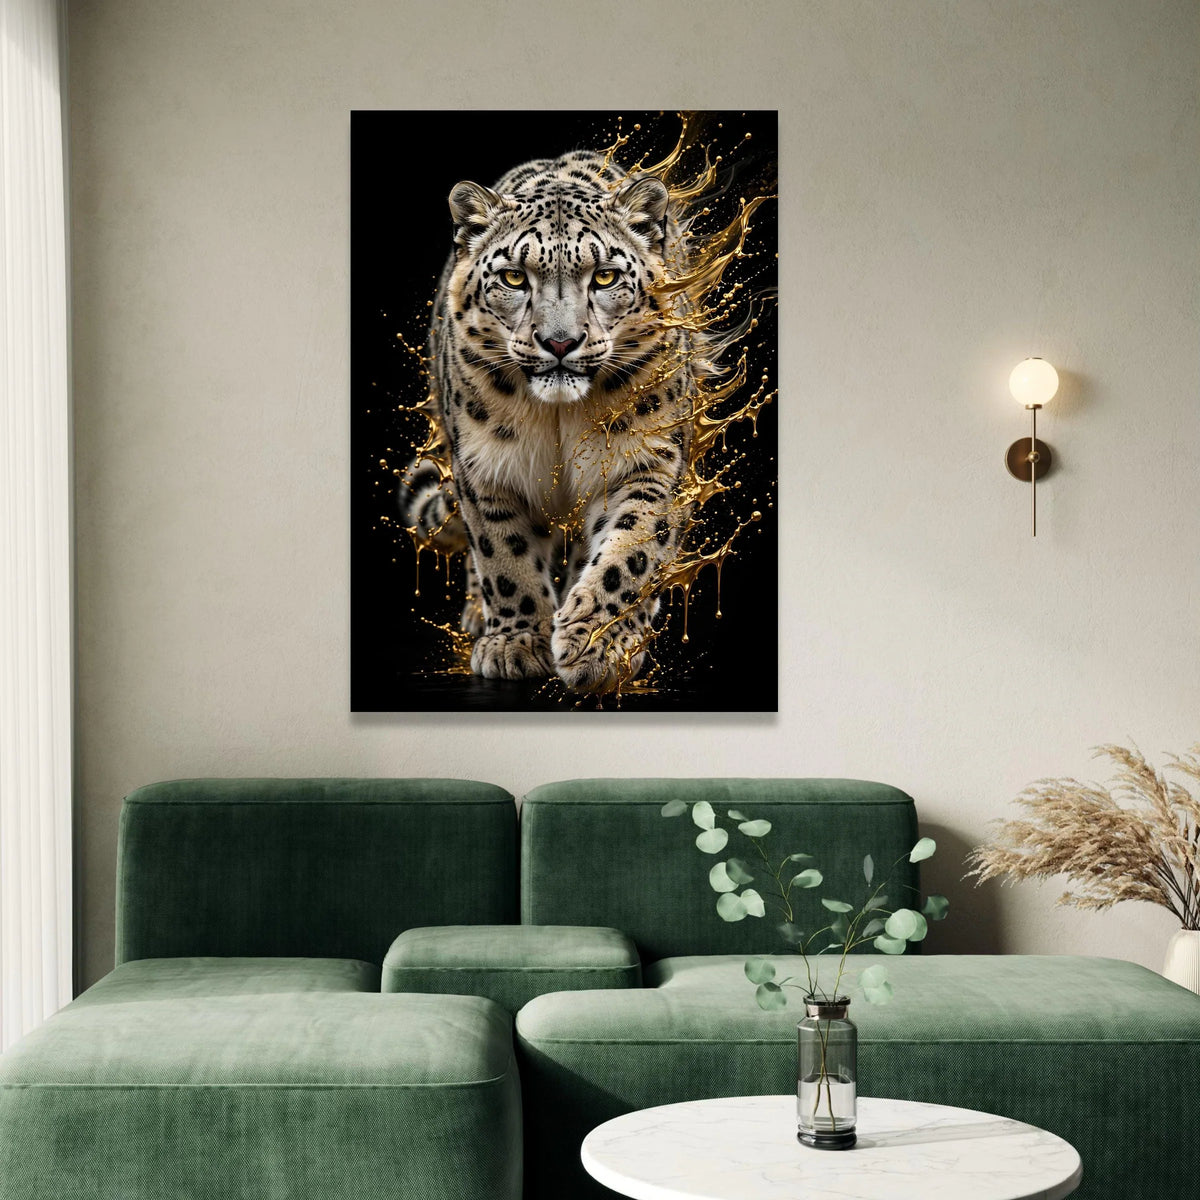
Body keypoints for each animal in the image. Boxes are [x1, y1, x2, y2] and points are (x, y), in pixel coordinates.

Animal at [399, 150, 699, 694]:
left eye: (605, 277)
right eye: (515, 278)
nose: (560, 342)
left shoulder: (647, 461)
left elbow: (631, 551)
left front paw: (595, 645)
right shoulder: (485, 467)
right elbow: (504, 555)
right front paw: (515, 644)